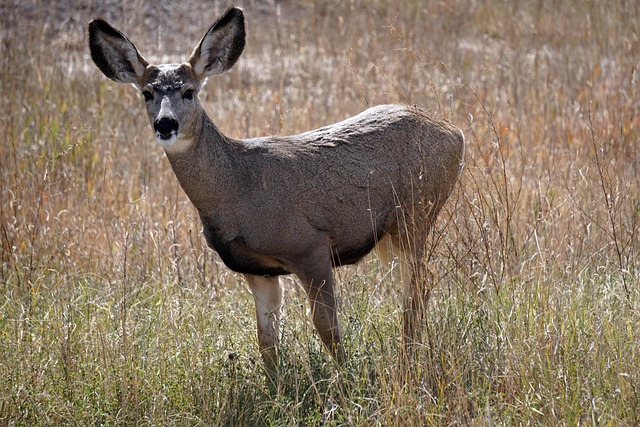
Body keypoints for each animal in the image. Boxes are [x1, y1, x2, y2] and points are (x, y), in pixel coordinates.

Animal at [88, 7, 464, 373]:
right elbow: (266, 340)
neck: (237, 189)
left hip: (415, 213)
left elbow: (326, 327)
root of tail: (456, 133)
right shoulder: (258, 269)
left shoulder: (309, 246)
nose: (165, 124)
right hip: (392, 233)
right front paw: (276, 387)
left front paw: (346, 380)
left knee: (419, 286)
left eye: (189, 91)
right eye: (147, 93)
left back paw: (406, 362)